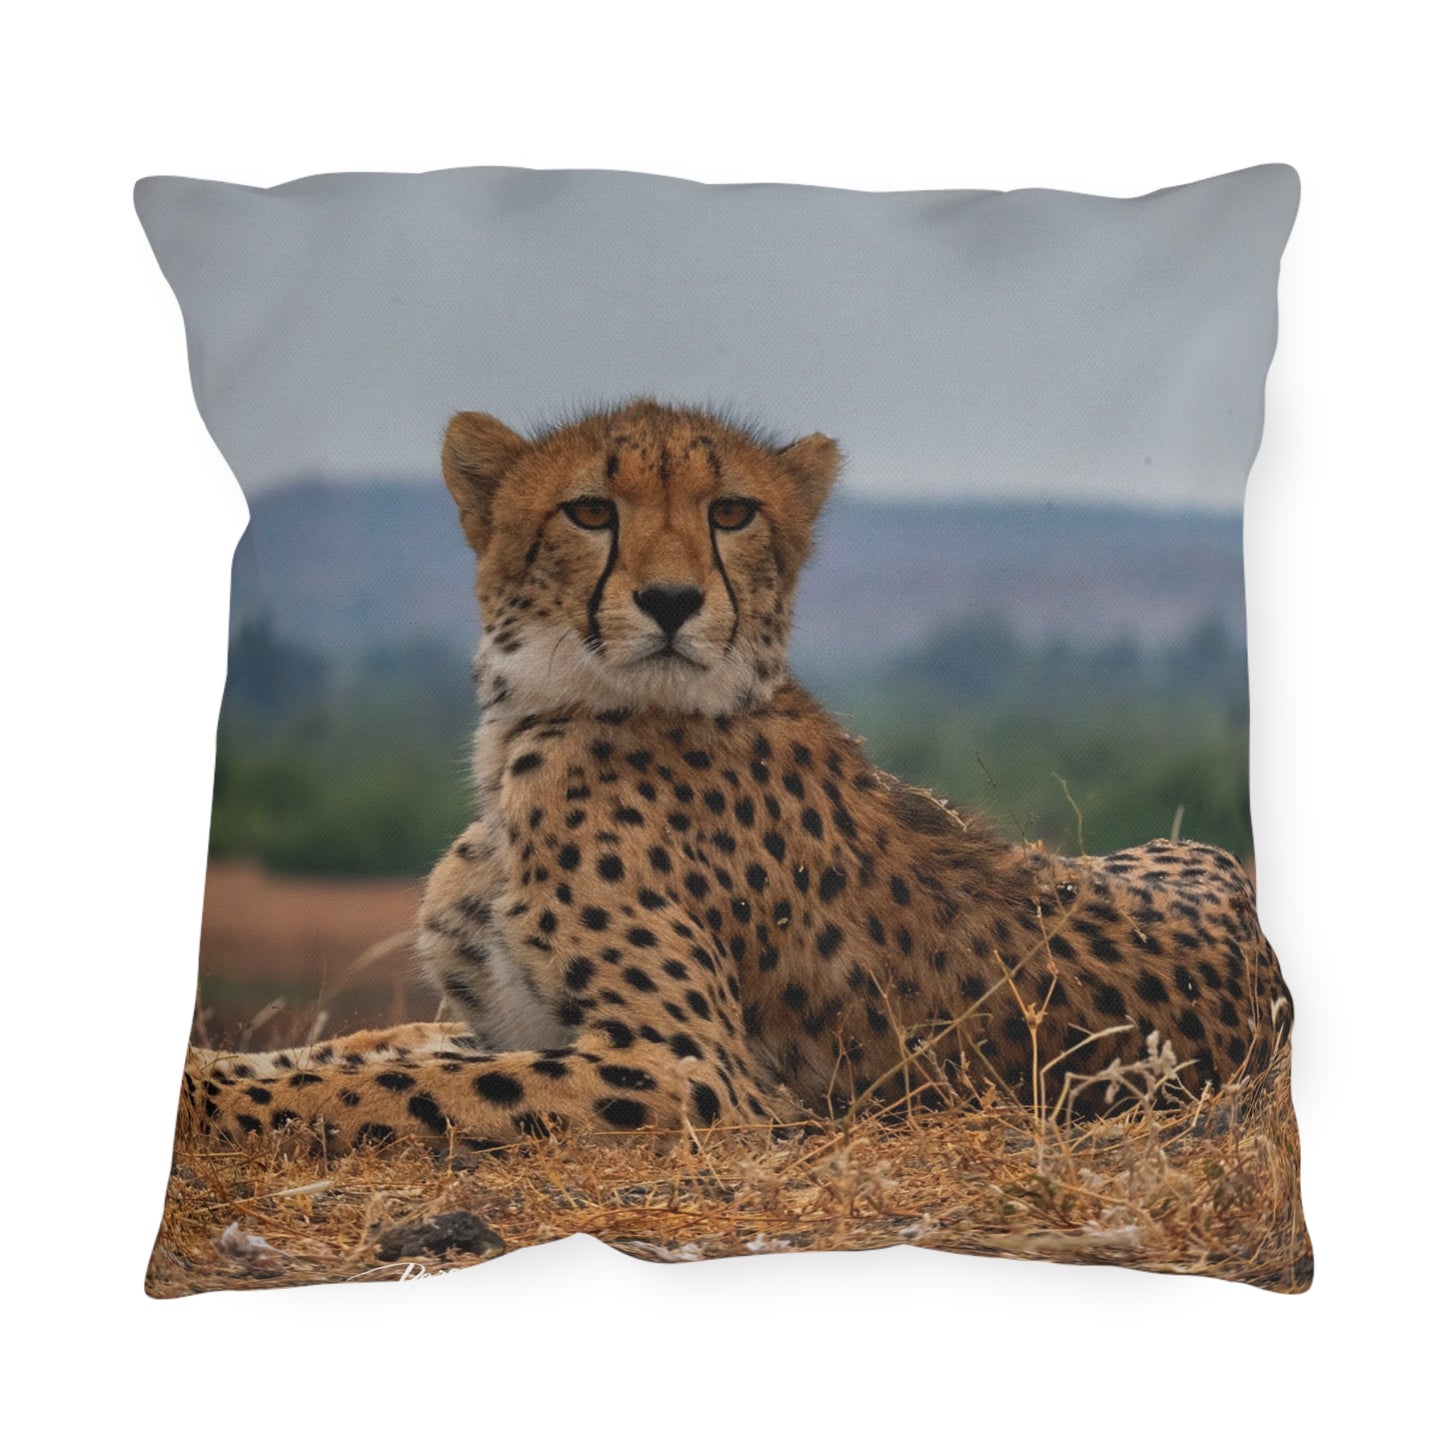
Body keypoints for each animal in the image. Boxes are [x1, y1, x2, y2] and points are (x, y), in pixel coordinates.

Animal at [185, 399, 1294, 1153]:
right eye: (589, 510)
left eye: (730, 511)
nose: (673, 600)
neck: (533, 726)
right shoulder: (502, 1022)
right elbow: (365, 1051)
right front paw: (207, 1066)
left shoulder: (692, 1072)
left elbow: (377, 1087)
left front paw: (207, 1098)